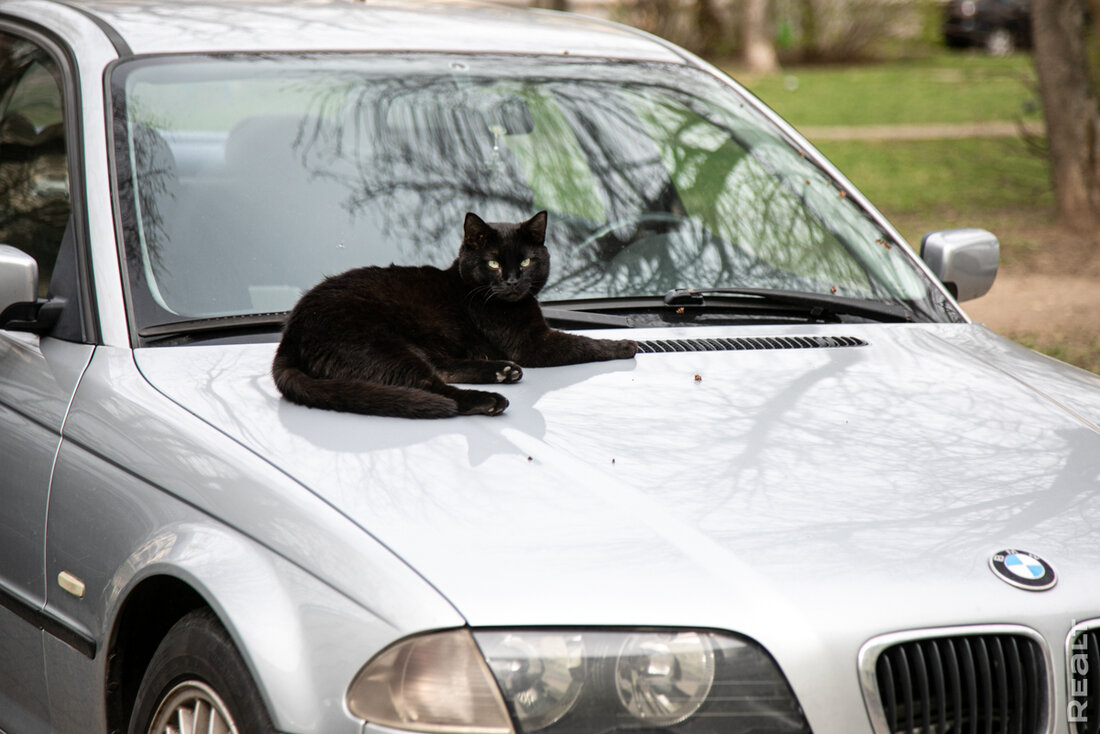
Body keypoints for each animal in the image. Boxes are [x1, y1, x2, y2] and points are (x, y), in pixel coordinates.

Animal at [270, 211, 642, 418]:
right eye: (493, 263)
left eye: (525, 261)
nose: (512, 281)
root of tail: (290, 333)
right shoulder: (533, 343)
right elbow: (581, 343)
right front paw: (626, 345)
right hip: (377, 343)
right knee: (431, 386)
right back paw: (490, 399)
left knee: (440, 370)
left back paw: (502, 372)